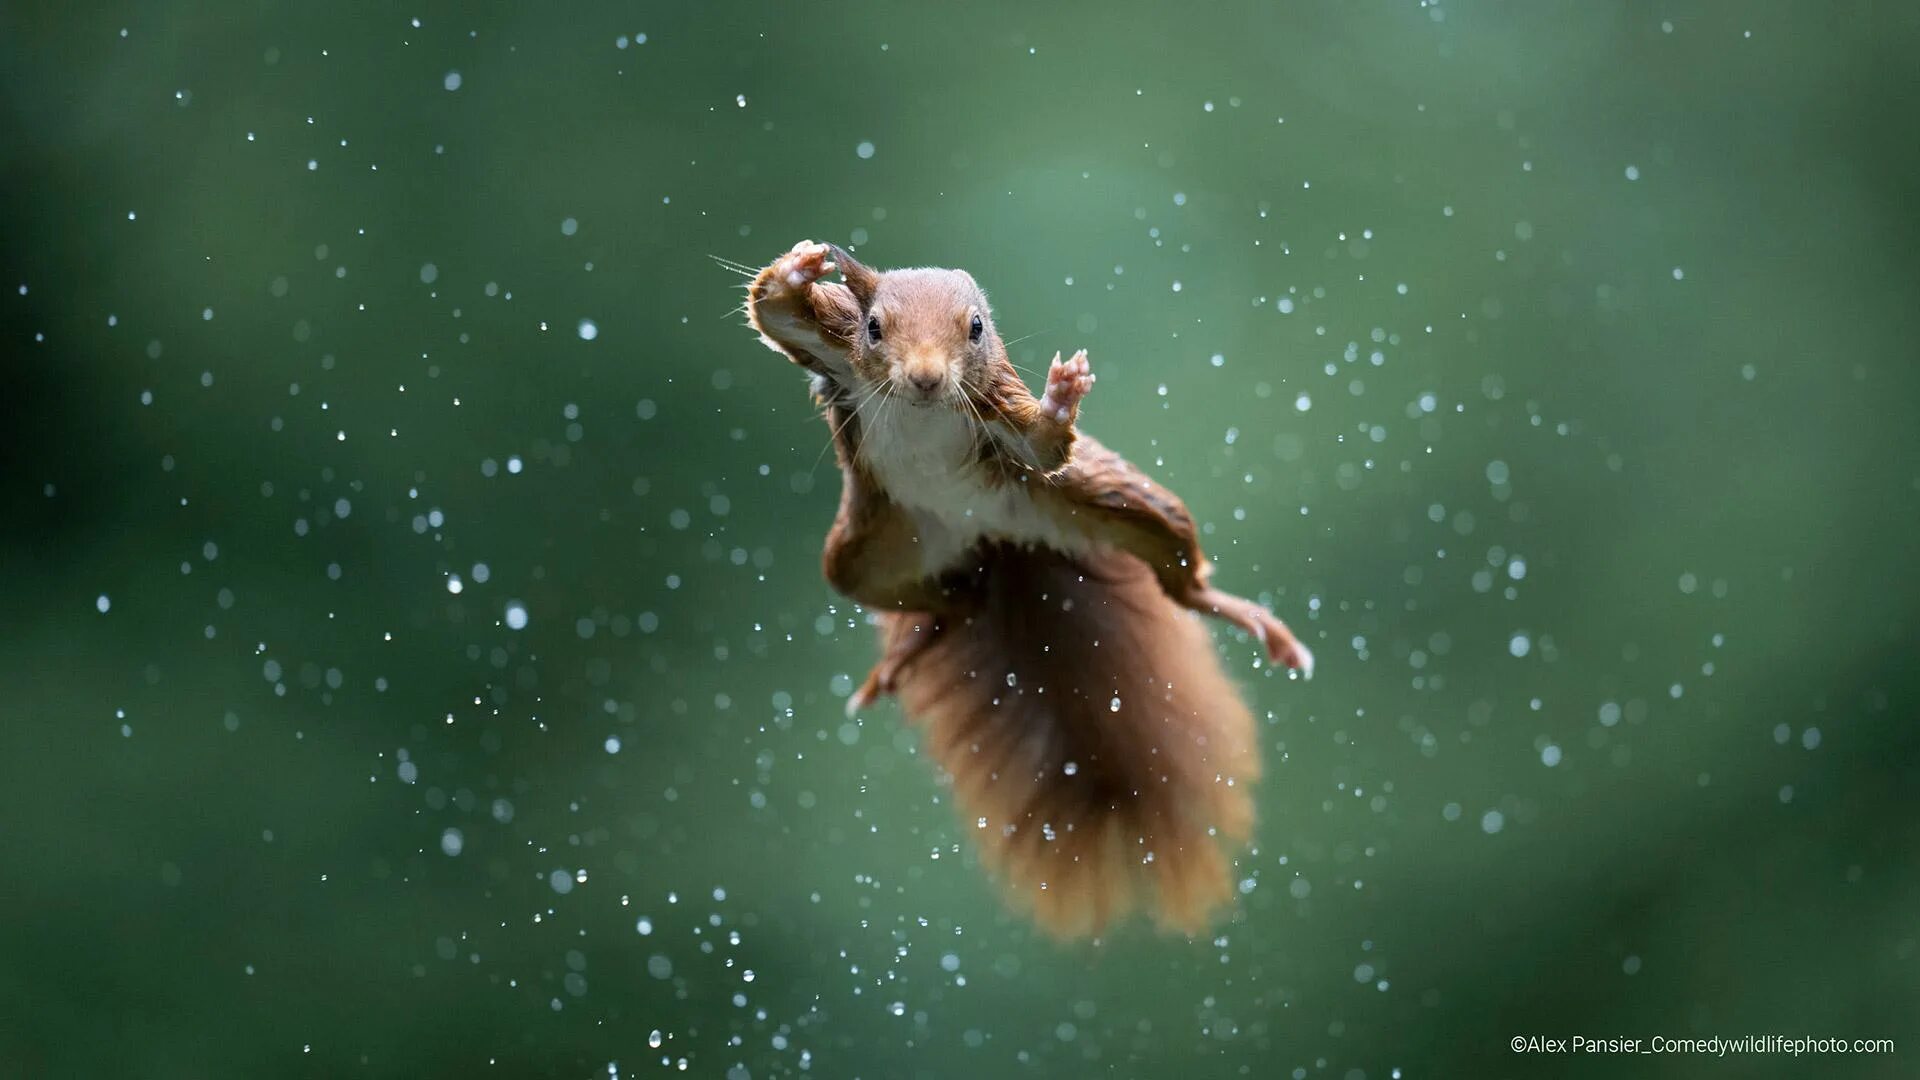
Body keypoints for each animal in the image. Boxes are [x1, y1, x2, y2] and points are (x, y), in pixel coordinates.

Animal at [741, 239, 1313, 930]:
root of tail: (993, 542)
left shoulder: (998, 410)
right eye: (875, 327)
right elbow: (774, 311)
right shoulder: (836, 351)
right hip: (867, 554)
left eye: (976, 329)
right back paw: (909, 649)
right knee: (952, 602)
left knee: (1178, 575)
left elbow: (1043, 445)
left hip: (1112, 502)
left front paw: (1062, 396)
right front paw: (801, 267)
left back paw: (1249, 618)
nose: (926, 379)